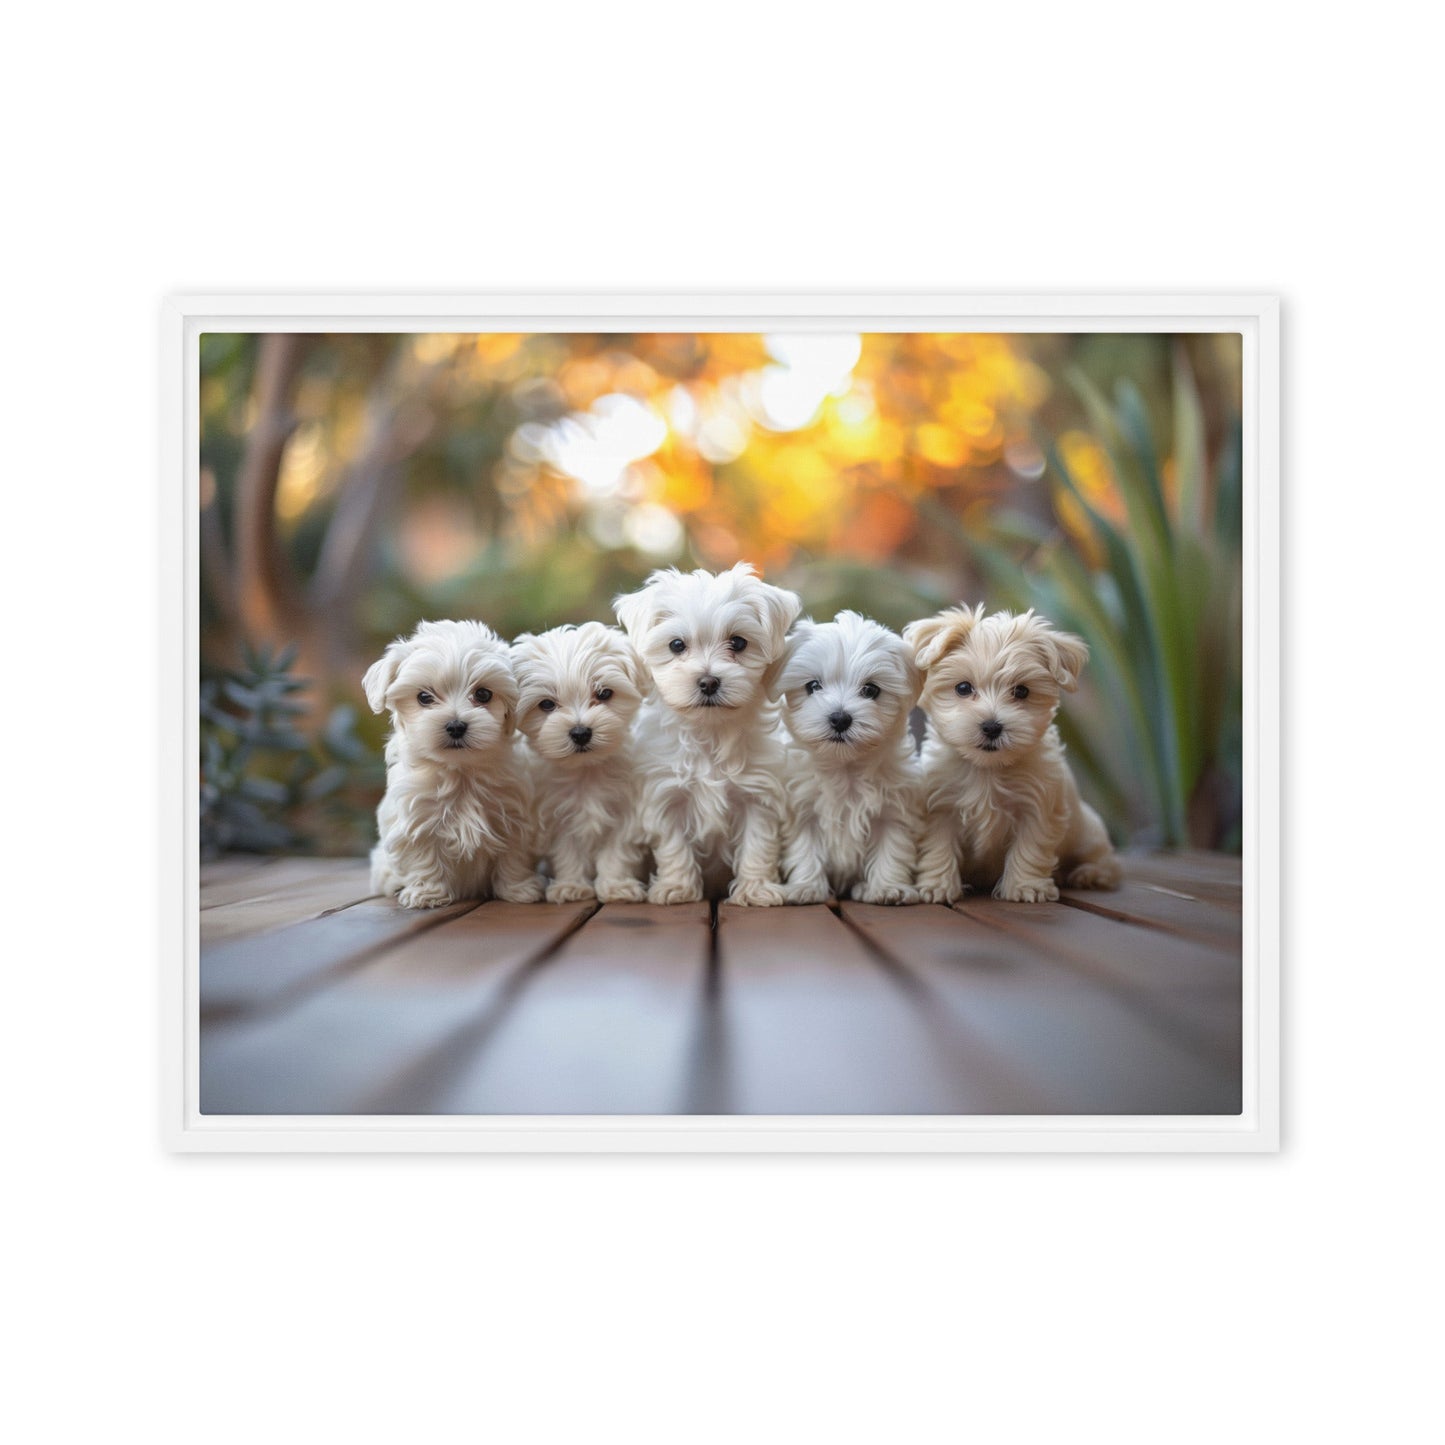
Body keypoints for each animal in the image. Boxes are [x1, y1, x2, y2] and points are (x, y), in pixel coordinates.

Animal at [361, 615, 543, 907]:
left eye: (483, 694)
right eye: (424, 697)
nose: (456, 726)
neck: (461, 770)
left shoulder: (514, 817)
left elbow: (513, 856)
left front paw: (518, 889)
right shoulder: (417, 821)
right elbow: (424, 857)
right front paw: (427, 893)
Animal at [508, 621, 644, 901]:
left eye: (604, 693)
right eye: (546, 704)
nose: (580, 732)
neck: (586, 770)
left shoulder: (625, 814)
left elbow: (616, 852)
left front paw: (616, 886)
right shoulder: (557, 817)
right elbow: (568, 852)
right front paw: (571, 886)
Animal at [609, 560, 803, 901]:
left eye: (738, 642)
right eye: (676, 645)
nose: (709, 681)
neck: (709, 731)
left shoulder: (758, 796)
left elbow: (758, 844)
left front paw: (756, 888)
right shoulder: (666, 795)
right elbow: (673, 846)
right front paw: (677, 887)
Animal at [774, 609, 919, 901]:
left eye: (871, 690)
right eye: (813, 686)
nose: (840, 718)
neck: (845, 766)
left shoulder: (893, 810)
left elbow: (892, 847)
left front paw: (887, 887)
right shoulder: (802, 809)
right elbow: (805, 848)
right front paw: (805, 887)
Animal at [907, 601, 1121, 901]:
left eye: (1021, 691)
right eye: (963, 688)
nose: (992, 726)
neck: (987, 768)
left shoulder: (1038, 807)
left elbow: (1029, 847)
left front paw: (1025, 886)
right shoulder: (940, 807)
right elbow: (938, 847)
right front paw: (936, 885)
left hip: (1088, 833)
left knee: (1106, 860)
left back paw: (1090, 874)